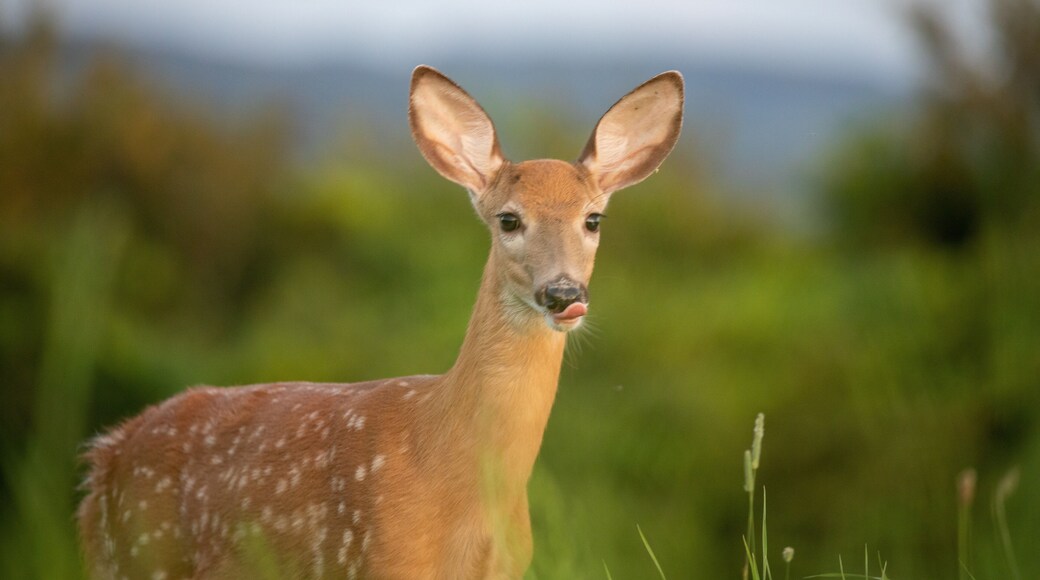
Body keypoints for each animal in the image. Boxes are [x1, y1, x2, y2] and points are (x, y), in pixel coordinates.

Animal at [77, 65, 683, 579]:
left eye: (593, 219)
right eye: (509, 220)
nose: (563, 294)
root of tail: (103, 459)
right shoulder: (386, 555)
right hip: (144, 554)